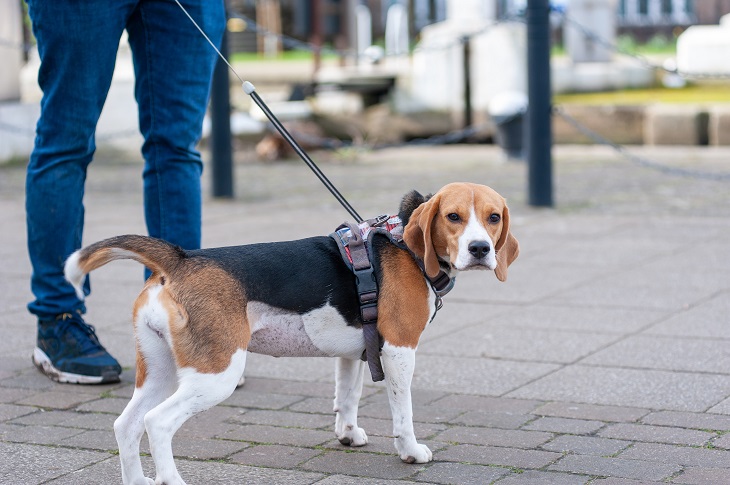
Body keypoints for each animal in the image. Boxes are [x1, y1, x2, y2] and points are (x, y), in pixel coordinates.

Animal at [64, 182, 516, 484]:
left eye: (493, 217)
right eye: (453, 217)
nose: (480, 249)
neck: (404, 243)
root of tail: (181, 259)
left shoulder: (354, 352)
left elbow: (347, 397)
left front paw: (347, 435)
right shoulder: (399, 350)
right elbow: (402, 411)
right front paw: (410, 451)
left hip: (159, 370)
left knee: (127, 425)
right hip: (215, 374)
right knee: (157, 423)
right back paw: (170, 479)